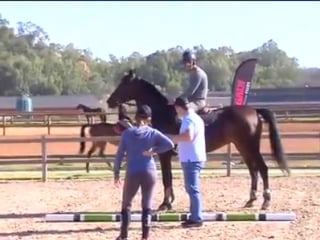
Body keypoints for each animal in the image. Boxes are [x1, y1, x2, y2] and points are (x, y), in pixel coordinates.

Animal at [105, 70, 290, 212]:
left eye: (125, 84)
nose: (109, 101)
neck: (163, 113)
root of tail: (253, 111)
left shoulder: (164, 155)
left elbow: (166, 179)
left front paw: (165, 204)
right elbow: (168, 178)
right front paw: (169, 202)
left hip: (250, 147)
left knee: (263, 169)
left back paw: (266, 201)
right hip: (243, 147)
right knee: (253, 171)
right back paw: (251, 200)